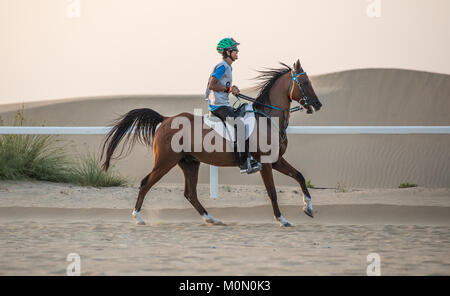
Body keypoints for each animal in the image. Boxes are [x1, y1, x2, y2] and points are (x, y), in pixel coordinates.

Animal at [100, 59, 322, 227]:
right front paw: (282, 219)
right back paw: (137, 217)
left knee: (190, 193)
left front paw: (308, 208)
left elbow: (299, 176)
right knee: (146, 183)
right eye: (305, 82)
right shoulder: (266, 163)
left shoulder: (276, 160)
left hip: (189, 163)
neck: (267, 118)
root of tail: (166, 119)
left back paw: (212, 219)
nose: (318, 104)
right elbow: (273, 192)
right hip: (165, 162)